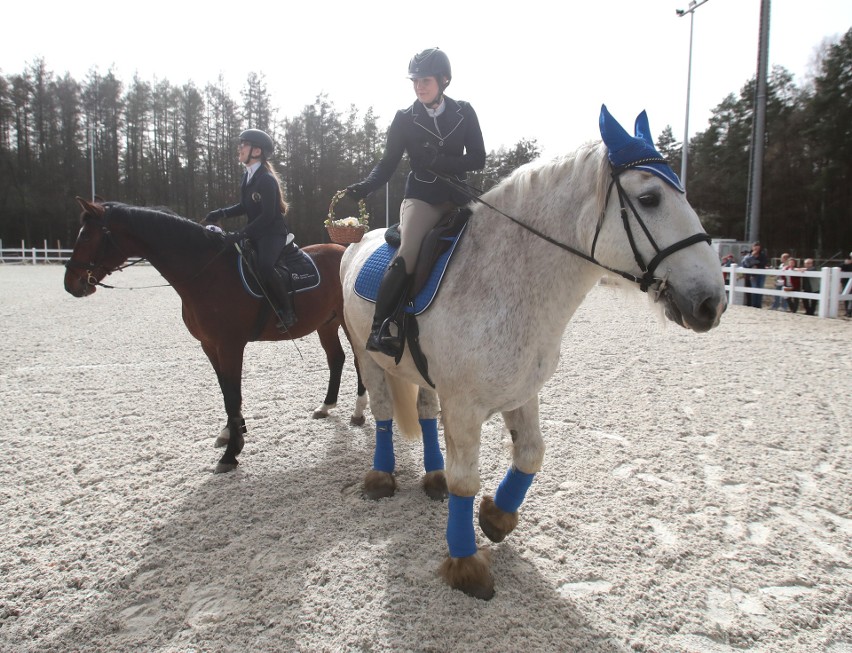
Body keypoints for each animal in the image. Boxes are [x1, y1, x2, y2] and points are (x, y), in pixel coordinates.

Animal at [62, 196, 362, 472]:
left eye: (87, 235)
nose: (71, 284)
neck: (207, 272)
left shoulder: (230, 345)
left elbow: (233, 395)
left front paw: (231, 453)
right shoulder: (209, 345)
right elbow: (226, 391)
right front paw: (232, 432)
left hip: (349, 323)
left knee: (359, 363)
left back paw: (358, 413)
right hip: (326, 324)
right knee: (336, 359)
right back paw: (326, 406)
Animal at [340, 104, 724, 600]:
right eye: (650, 198)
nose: (712, 301)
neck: (505, 283)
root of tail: (358, 241)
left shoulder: (522, 393)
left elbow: (531, 455)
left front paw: (497, 518)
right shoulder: (464, 406)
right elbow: (467, 479)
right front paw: (466, 563)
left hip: (419, 373)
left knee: (423, 413)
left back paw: (432, 477)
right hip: (367, 355)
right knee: (384, 411)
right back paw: (381, 478)